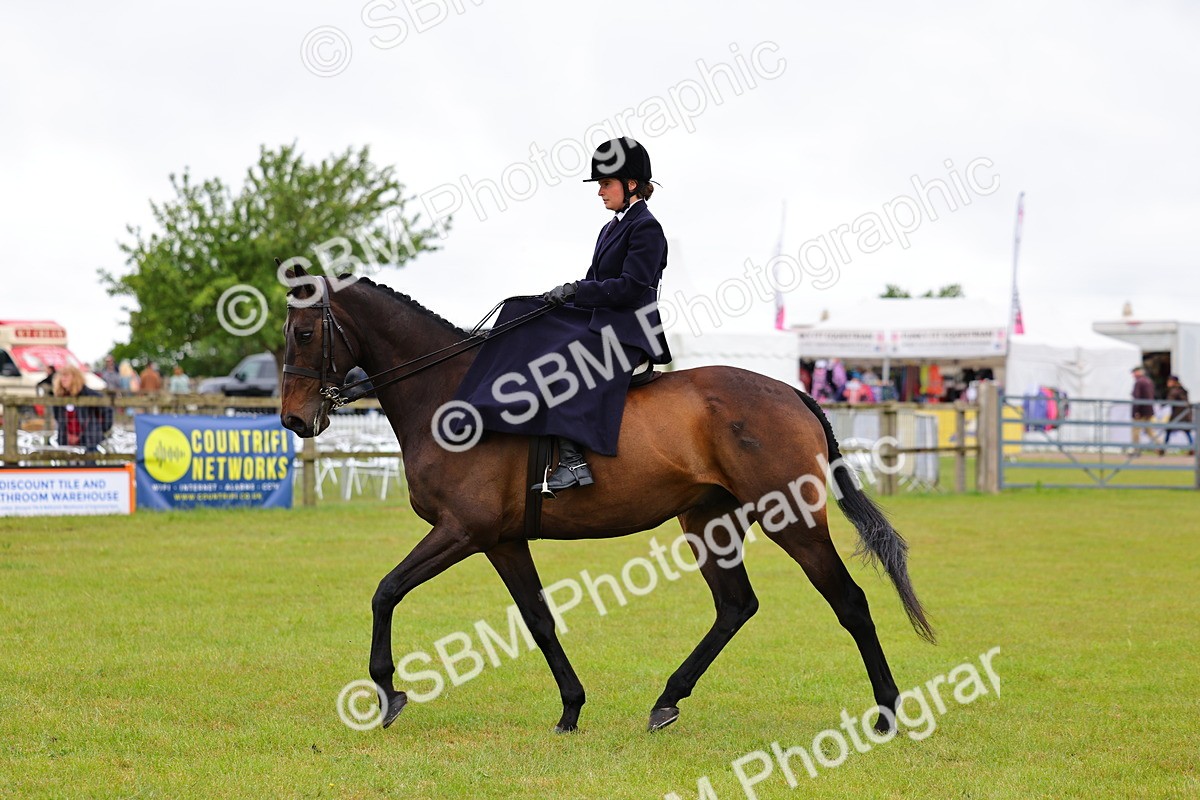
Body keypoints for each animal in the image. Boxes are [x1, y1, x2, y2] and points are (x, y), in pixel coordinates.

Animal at [278, 266, 934, 734]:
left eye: (306, 334)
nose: (293, 420)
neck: (449, 394)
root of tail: (791, 391)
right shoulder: (501, 540)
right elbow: (538, 619)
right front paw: (571, 708)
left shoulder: (463, 530)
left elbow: (386, 590)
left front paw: (386, 692)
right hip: (707, 520)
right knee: (735, 606)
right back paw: (667, 700)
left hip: (791, 518)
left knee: (848, 601)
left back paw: (886, 712)